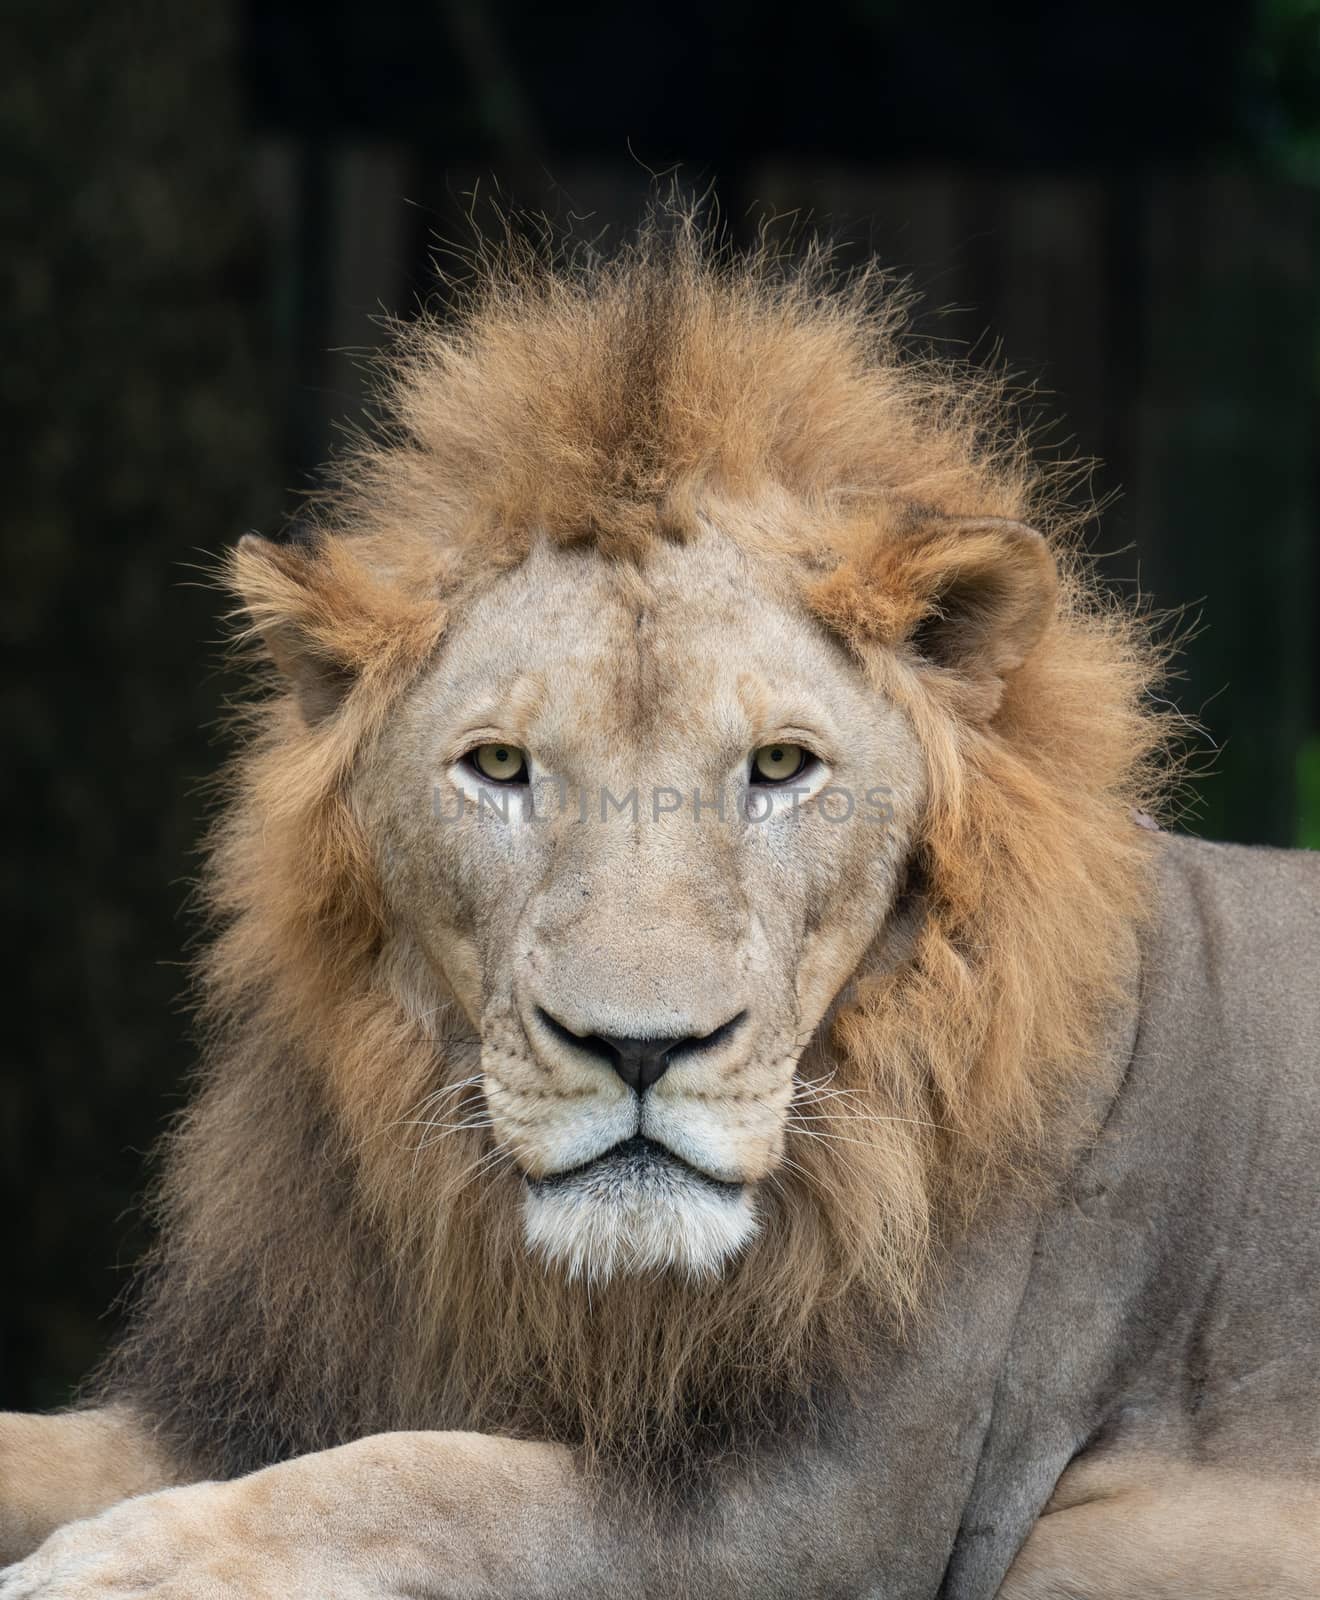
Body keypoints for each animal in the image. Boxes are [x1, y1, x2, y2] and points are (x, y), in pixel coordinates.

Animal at [2, 216, 1318, 1600]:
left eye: (782, 766)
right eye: (500, 765)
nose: (640, 1049)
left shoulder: (833, 1509)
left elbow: (428, 1479)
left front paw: (124, 1557)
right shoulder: (276, 1381)